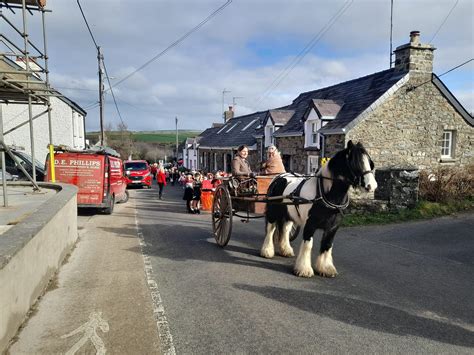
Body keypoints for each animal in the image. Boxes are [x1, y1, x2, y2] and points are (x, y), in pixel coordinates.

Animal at [262, 141, 376, 278]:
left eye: (370, 162)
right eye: (356, 162)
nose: (372, 186)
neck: (325, 194)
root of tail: (279, 177)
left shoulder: (333, 227)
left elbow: (327, 245)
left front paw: (325, 268)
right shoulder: (310, 225)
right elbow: (308, 245)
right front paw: (304, 269)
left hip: (289, 214)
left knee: (285, 229)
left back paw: (286, 250)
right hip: (273, 213)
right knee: (271, 229)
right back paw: (267, 251)